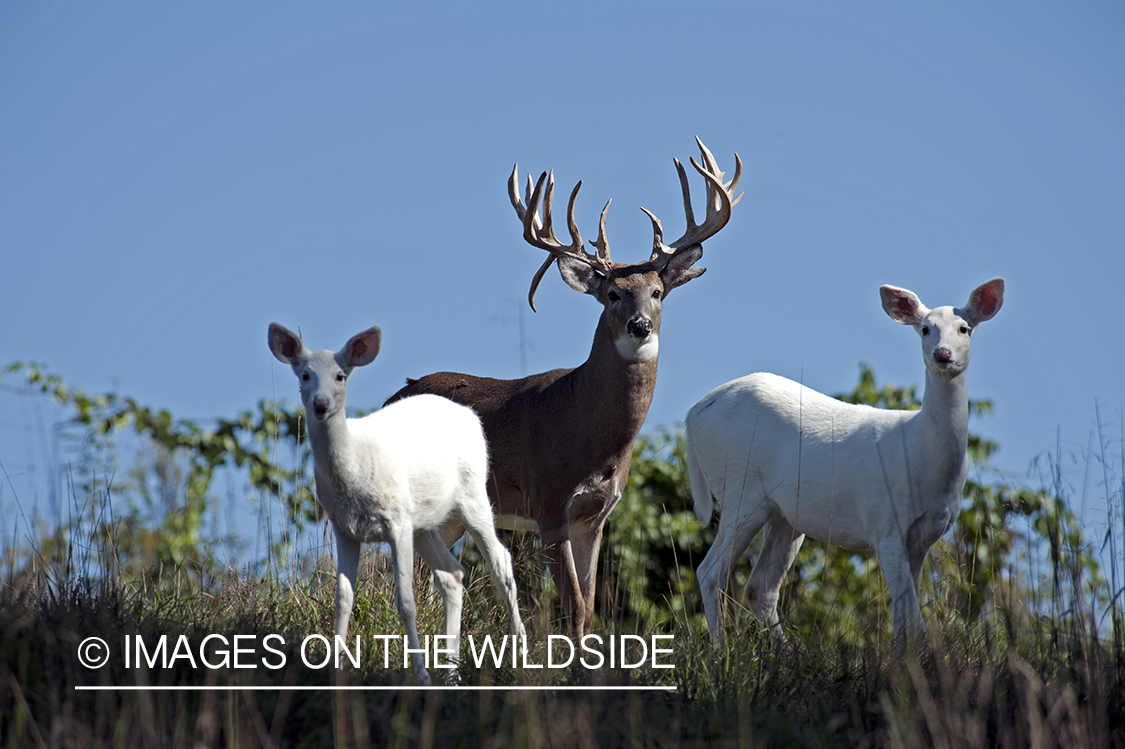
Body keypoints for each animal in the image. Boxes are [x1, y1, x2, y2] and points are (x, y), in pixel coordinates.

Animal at [267, 321, 526, 683]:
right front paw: (335, 672)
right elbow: (343, 598)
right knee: (452, 573)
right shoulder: (344, 528)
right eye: (304, 374)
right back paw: (452, 672)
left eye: (340, 375)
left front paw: (421, 677)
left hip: (473, 496)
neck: (355, 465)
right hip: (425, 521)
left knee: (500, 562)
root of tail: (469, 414)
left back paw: (521, 658)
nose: (320, 404)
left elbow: (406, 602)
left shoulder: (397, 522)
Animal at [389, 140, 747, 634]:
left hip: (450, 516)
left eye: (657, 292)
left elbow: (591, 607)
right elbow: (573, 607)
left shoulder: (594, 517)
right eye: (613, 294)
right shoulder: (549, 505)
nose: (640, 326)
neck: (587, 431)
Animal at [688, 276, 1008, 652]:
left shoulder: (922, 539)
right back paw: (719, 650)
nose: (942, 355)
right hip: (739, 487)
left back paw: (787, 653)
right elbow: (914, 618)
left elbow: (903, 616)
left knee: (759, 587)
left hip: (786, 515)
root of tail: (693, 414)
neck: (921, 455)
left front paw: (902, 662)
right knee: (710, 573)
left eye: (964, 328)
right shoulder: (884, 525)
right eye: (925, 329)